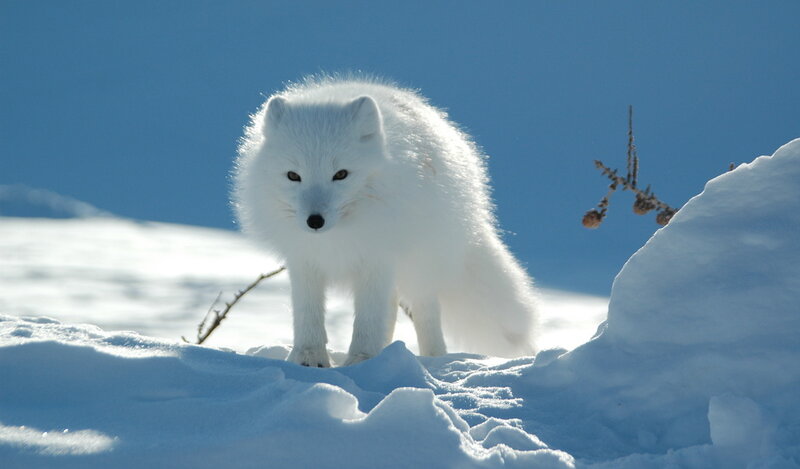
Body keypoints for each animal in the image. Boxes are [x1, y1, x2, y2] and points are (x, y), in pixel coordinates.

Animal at [233, 76, 538, 367]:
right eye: (293, 176)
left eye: (341, 174)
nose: (314, 221)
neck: (337, 237)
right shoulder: (304, 260)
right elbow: (308, 314)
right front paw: (309, 358)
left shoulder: (376, 257)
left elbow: (368, 319)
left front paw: (362, 360)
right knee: (391, 309)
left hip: (421, 263)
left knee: (425, 311)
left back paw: (432, 358)